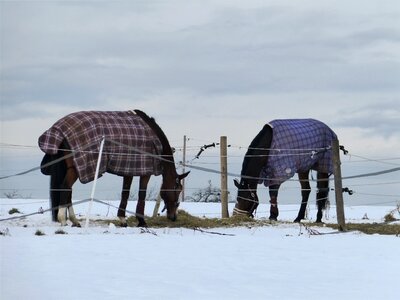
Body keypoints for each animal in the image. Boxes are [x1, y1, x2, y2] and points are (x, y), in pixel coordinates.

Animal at [39, 109, 189, 226]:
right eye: (177, 189)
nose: (173, 217)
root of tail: (59, 131)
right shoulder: (145, 172)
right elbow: (141, 194)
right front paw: (141, 221)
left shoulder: (129, 170)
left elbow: (125, 193)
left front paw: (122, 219)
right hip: (76, 170)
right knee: (65, 187)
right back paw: (63, 219)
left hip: (71, 168)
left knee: (68, 190)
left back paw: (74, 221)